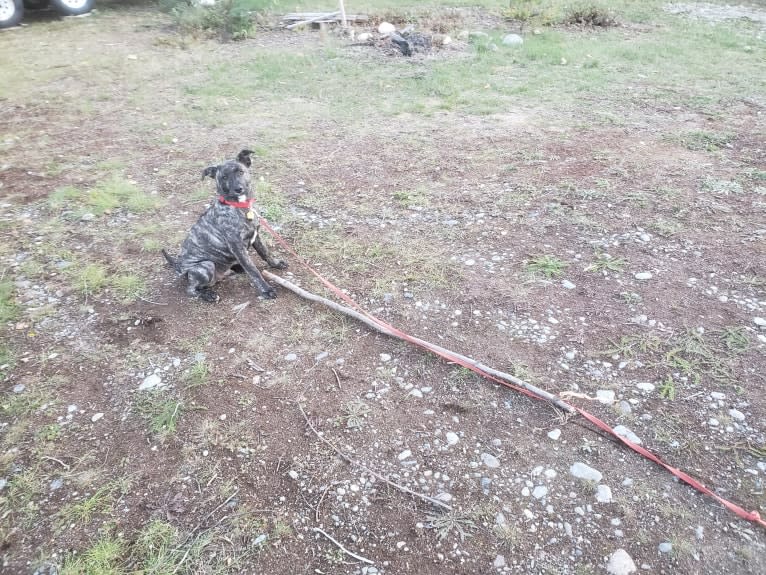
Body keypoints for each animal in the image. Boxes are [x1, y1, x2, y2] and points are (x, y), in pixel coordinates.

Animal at [160, 150, 286, 302]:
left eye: (241, 171)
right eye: (224, 177)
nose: (238, 189)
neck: (239, 206)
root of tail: (180, 267)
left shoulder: (256, 236)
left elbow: (265, 253)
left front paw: (276, 264)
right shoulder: (237, 246)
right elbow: (253, 270)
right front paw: (266, 290)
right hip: (206, 265)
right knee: (191, 289)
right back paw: (208, 295)